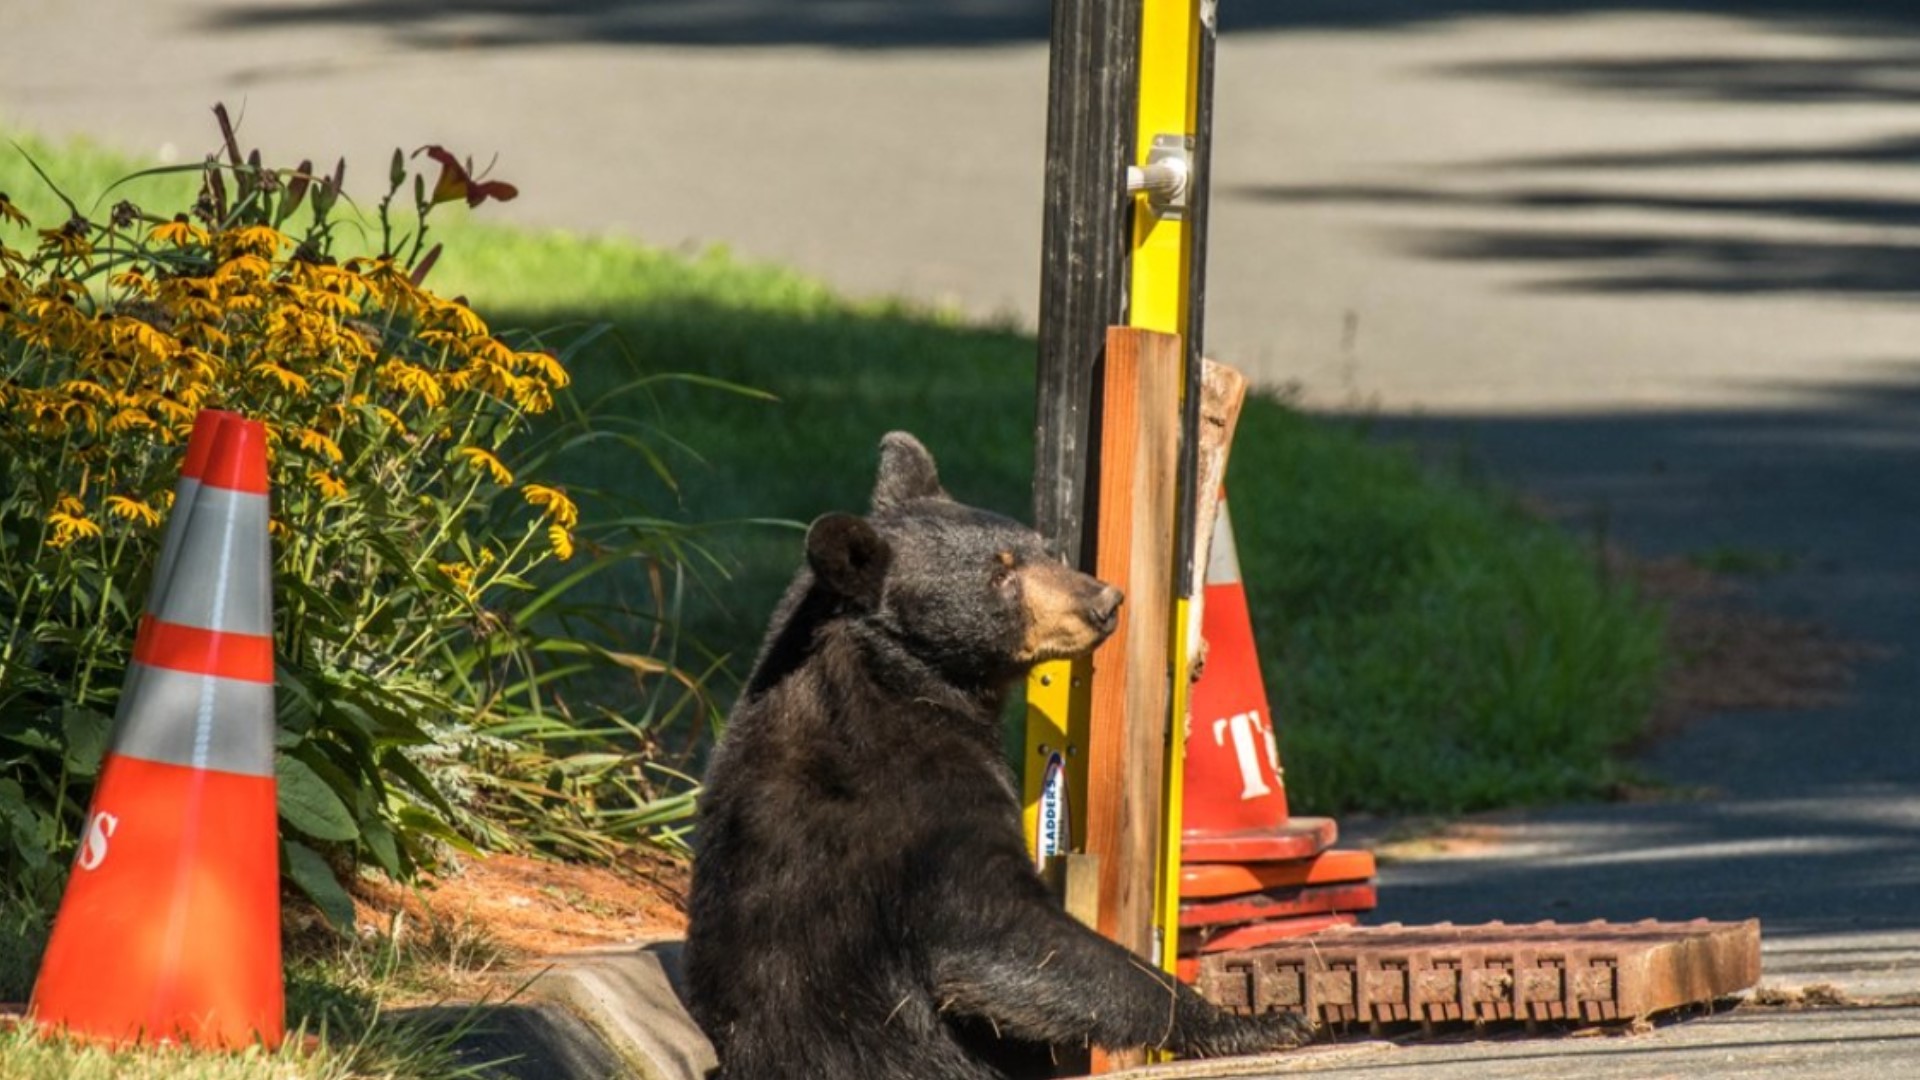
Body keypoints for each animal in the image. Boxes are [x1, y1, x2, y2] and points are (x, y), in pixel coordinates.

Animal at [684, 432, 1312, 1079]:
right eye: (999, 574)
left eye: (1043, 549)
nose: (1104, 600)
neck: (895, 680)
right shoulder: (915, 805)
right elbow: (994, 931)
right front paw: (1255, 1023)